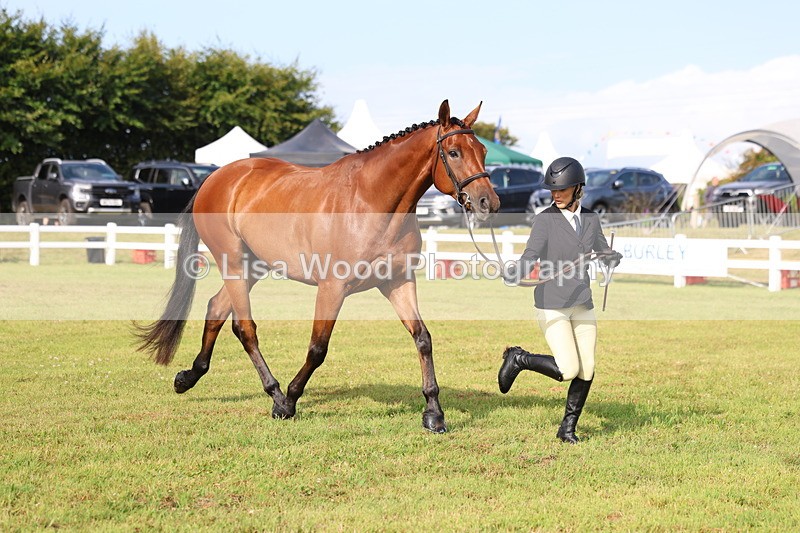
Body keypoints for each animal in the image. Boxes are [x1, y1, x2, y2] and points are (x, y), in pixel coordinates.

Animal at [136, 100, 499, 433]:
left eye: (482, 150)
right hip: (234, 264)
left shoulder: (398, 282)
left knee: (216, 310)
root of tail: (215, 178)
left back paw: (188, 377)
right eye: (453, 152)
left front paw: (434, 413)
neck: (370, 202)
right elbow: (318, 348)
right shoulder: (332, 288)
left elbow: (423, 338)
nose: (489, 202)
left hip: (254, 267)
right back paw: (275, 395)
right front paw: (289, 401)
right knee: (245, 329)